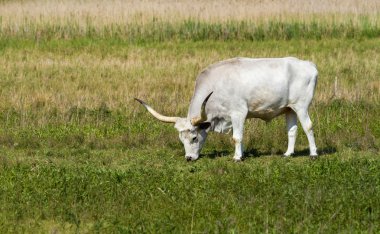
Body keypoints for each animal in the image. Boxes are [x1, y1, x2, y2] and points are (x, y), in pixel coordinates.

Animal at [135, 57, 320, 162]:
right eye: (181, 139)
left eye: (194, 137)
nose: (188, 158)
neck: (216, 85)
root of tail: (309, 65)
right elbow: (240, 137)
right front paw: (241, 154)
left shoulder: (238, 113)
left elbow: (237, 137)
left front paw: (237, 157)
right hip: (289, 109)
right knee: (292, 131)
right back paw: (288, 154)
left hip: (301, 106)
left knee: (308, 126)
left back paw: (313, 154)